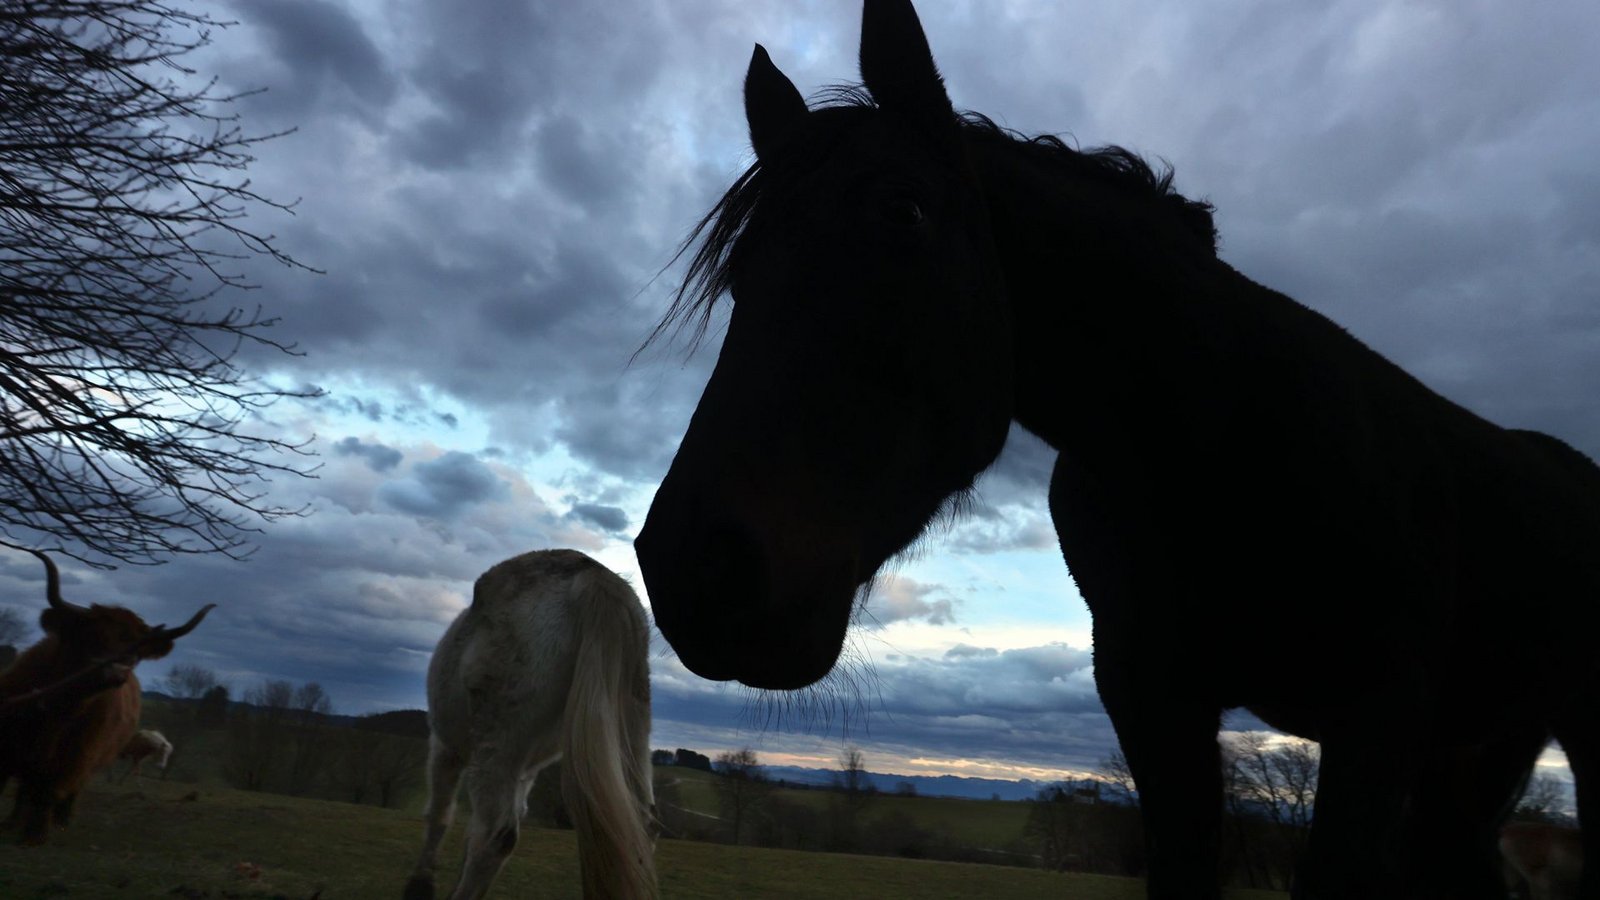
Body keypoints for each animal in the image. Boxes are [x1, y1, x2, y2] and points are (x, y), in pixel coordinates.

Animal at [403, 549, 657, 900]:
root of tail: (593, 576)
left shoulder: (445, 748)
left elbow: (439, 814)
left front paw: (421, 884)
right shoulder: (525, 773)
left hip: (496, 746)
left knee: (496, 837)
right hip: (631, 730)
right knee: (641, 828)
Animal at [633, 1, 1600, 898]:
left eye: (904, 211)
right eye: (739, 276)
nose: (693, 569)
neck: (1216, 446)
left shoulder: (1378, 720)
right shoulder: (1154, 700)